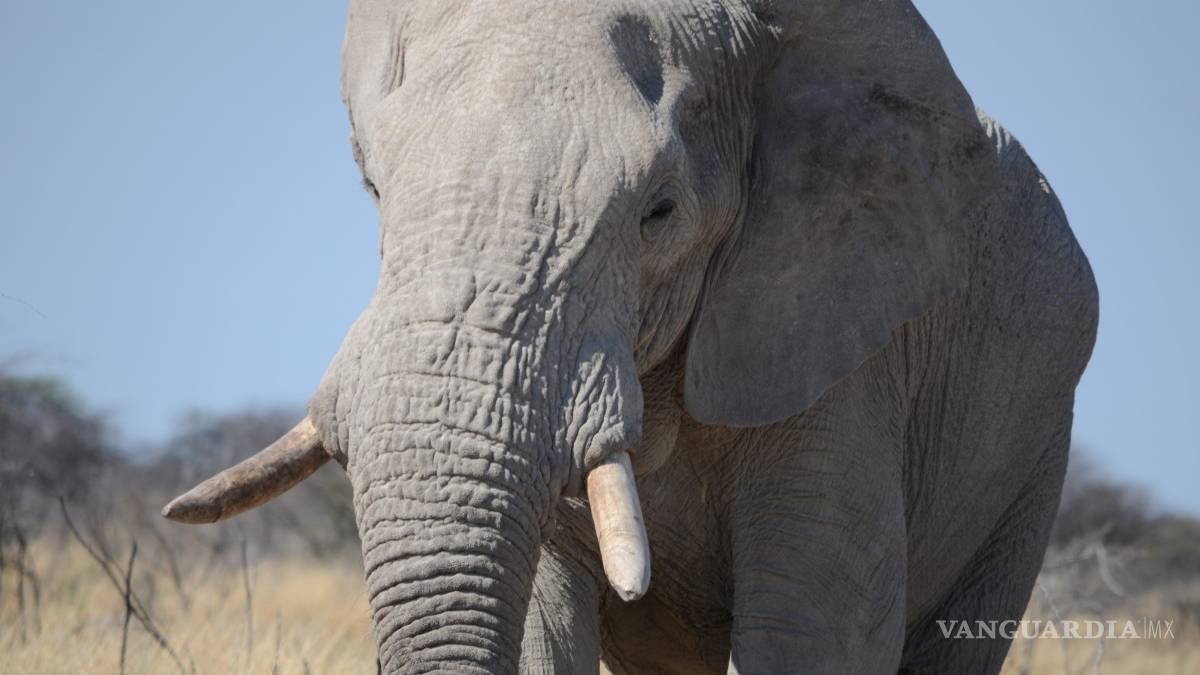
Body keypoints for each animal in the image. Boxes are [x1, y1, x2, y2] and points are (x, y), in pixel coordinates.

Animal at [164, 1, 1099, 673]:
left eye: (660, 212)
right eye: (371, 185)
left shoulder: (842, 354)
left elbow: (811, 631)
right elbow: (543, 632)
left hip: (1032, 454)